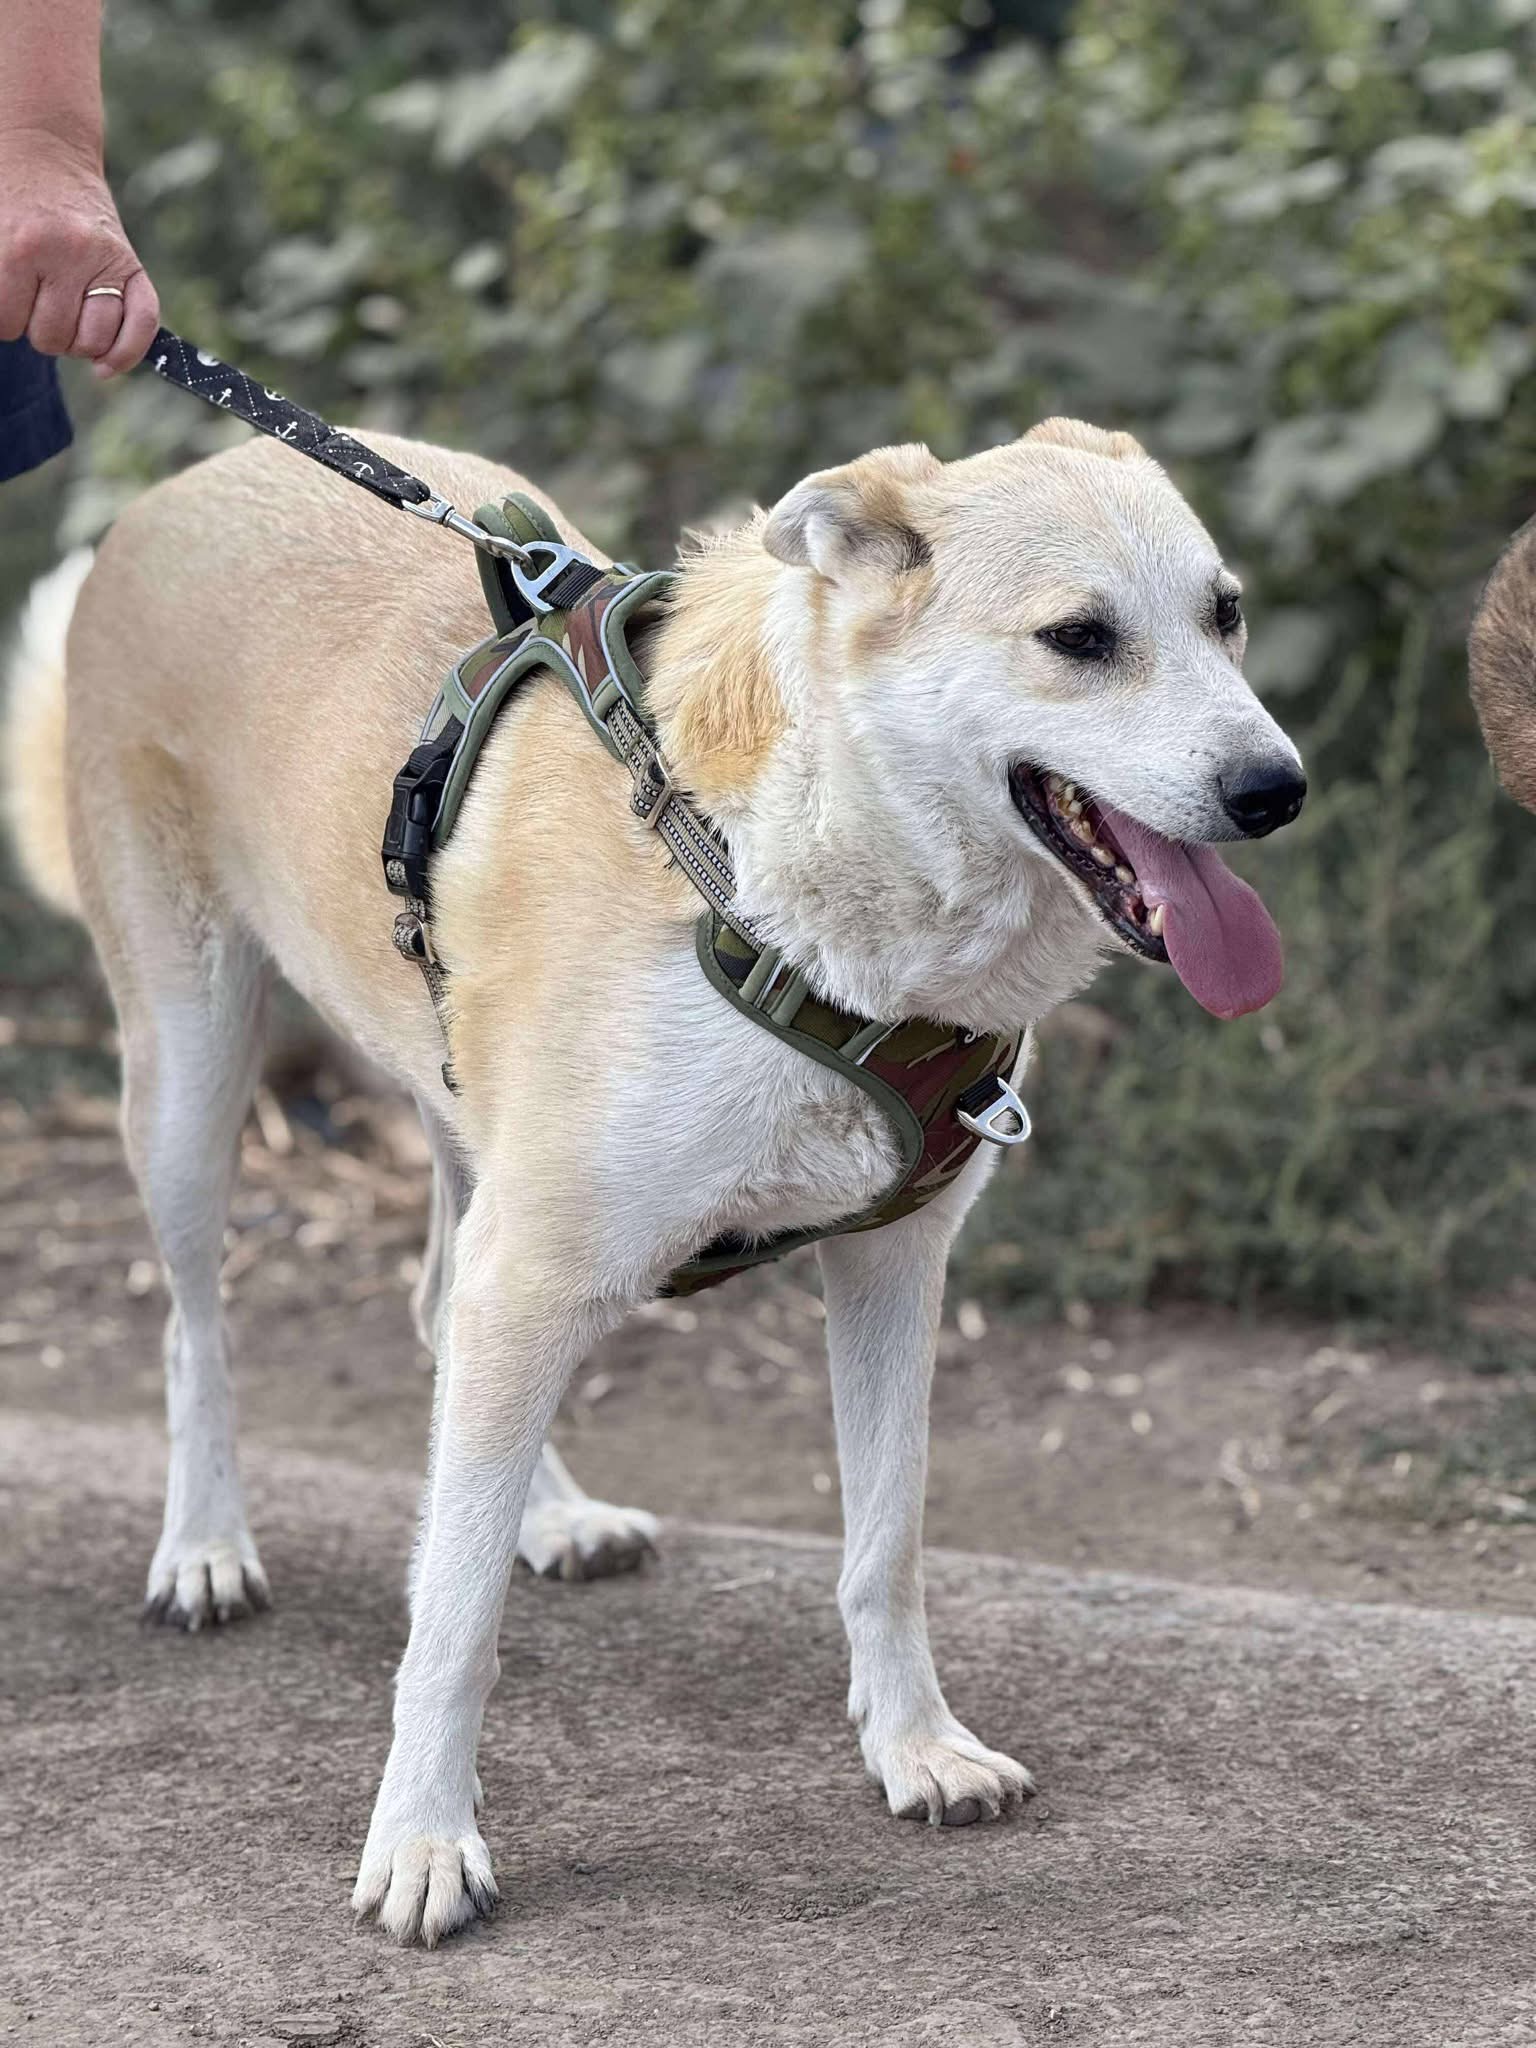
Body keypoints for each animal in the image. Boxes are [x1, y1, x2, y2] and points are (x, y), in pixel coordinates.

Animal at [5, 416, 1305, 1945]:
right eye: (1080, 638)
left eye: (1225, 614)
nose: (1277, 789)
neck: (776, 860)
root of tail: (173, 493)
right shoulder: (538, 1264)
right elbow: (452, 1621)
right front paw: (424, 1841)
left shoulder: (889, 1266)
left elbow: (886, 1542)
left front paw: (916, 1748)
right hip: (194, 1070)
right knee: (197, 1326)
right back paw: (206, 1547)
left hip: (466, 1121)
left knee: (435, 1313)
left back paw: (552, 1514)